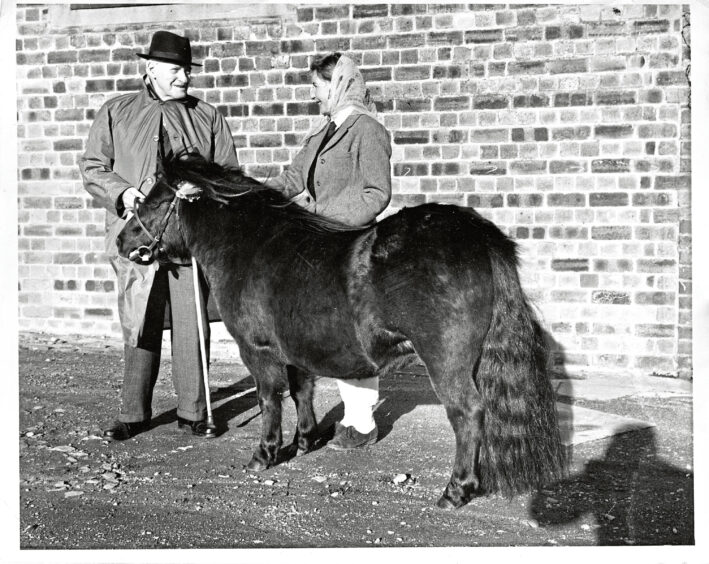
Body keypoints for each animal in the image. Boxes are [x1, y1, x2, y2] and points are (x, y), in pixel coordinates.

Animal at [119, 156, 568, 508]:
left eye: (154, 200)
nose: (124, 240)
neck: (252, 246)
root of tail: (478, 235)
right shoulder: (295, 349)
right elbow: (301, 391)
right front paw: (304, 441)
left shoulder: (258, 349)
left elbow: (269, 399)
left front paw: (265, 454)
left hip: (447, 361)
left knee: (469, 413)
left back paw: (455, 490)